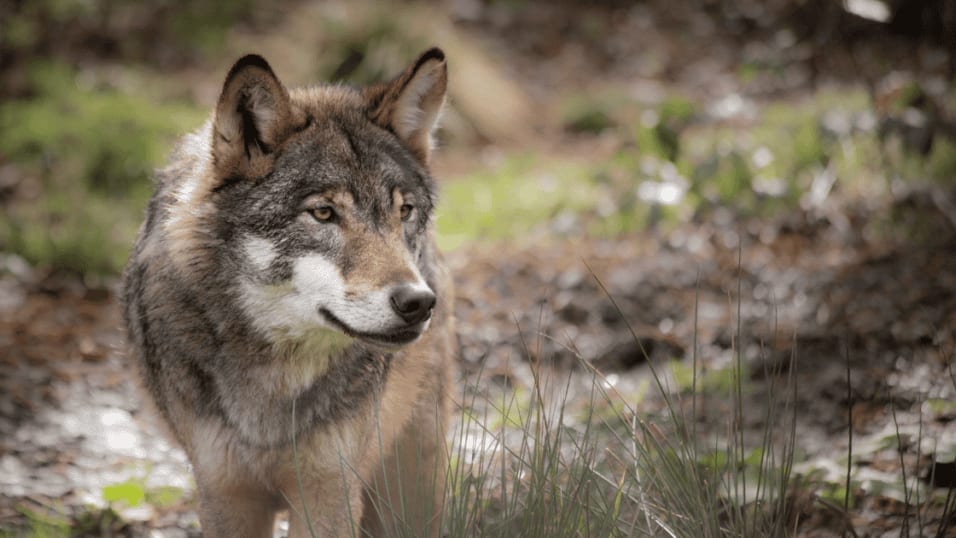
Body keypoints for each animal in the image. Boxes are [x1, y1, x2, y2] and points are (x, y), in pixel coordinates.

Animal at [121, 48, 455, 537]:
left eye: (404, 211)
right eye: (323, 213)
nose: (418, 303)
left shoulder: (329, 490)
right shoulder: (225, 494)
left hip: (410, 478)